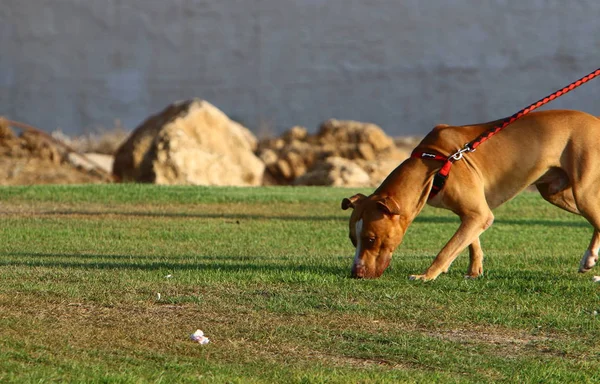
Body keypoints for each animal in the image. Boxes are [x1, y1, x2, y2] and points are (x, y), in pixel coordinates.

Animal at [342, 109, 600, 280]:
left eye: (371, 239)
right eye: (353, 240)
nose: (355, 273)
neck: (431, 165)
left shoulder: (478, 214)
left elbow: (447, 248)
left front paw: (427, 275)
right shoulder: (472, 214)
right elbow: (469, 243)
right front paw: (474, 271)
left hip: (583, 193)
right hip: (556, 193)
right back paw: (590, 258)